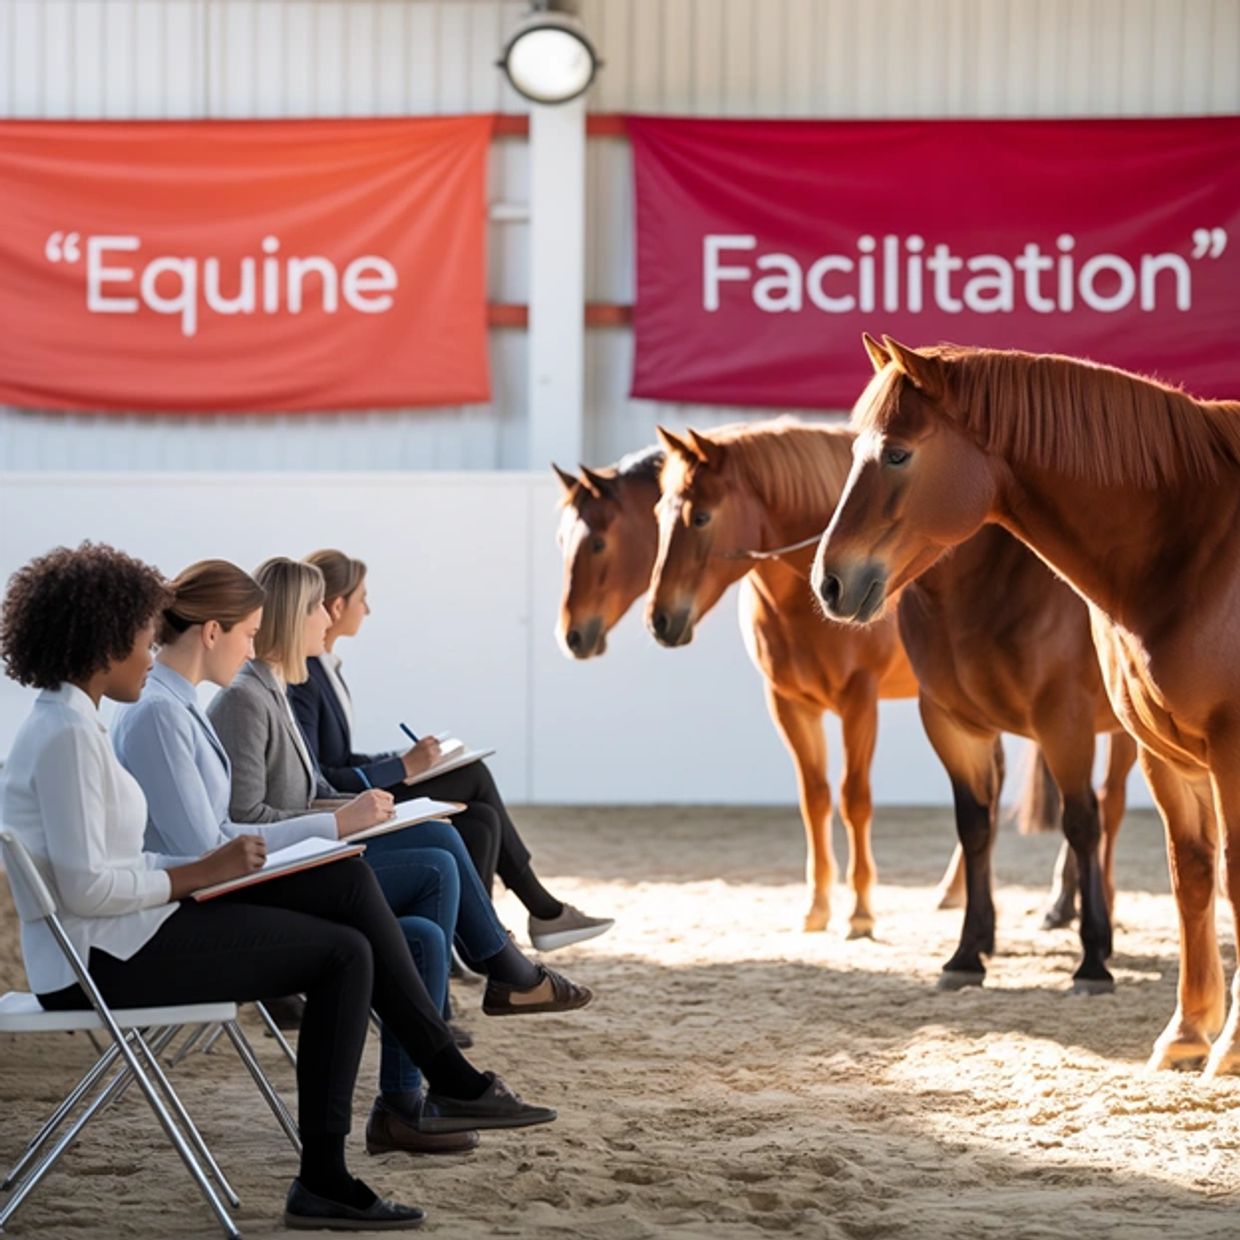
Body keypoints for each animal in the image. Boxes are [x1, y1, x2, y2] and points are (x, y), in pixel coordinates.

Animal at [812, 335, 1240, 1071]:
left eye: (896, 452)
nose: (829, 581)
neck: (1194, 551)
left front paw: (1226, 1045)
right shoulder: (1164, 755)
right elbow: (1191, 878)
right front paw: (1186, 1034)